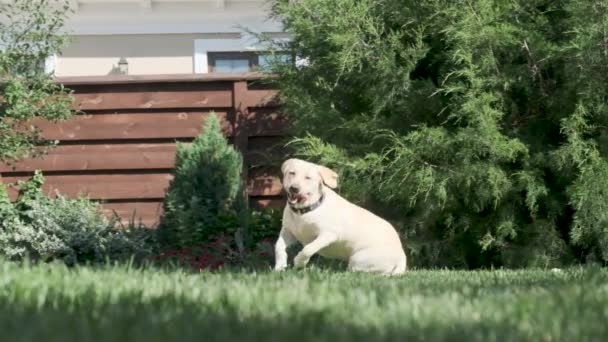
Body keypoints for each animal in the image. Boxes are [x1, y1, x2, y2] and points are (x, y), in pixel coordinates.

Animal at [274, 160, 406, 276]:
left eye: (308, 178)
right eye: (292, 173)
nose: (294, 188)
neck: (304, 212)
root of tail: (402, 256)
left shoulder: (329, 235)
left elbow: (308, 248)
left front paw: (299, 262)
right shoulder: (288, 231)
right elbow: (278, 246)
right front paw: (280, 267)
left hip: (358, 259)